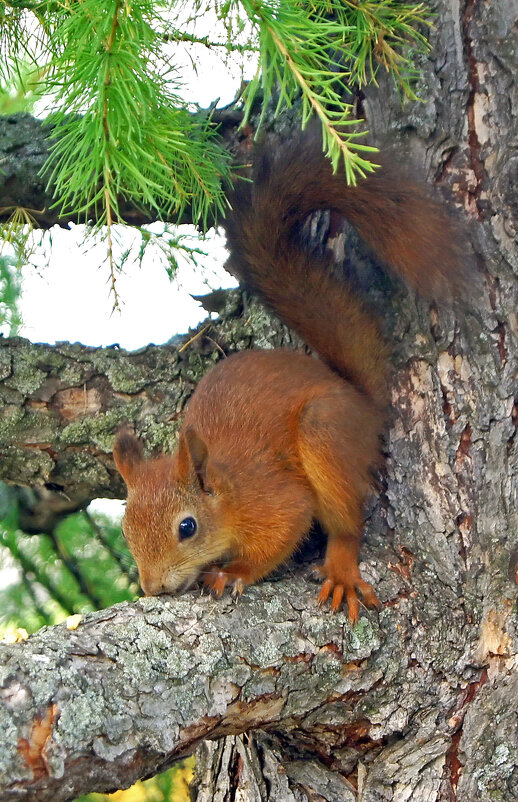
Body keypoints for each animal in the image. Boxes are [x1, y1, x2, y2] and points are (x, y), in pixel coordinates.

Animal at [115, 130, 472, 620]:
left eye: (186, 527)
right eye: (126, 529)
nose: (151, 587)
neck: (229, 493)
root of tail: (362, 402)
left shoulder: (274, 501)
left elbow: (287, 528)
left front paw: (233, 572)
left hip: (324, 430)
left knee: (346, 524)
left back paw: (340, 566)